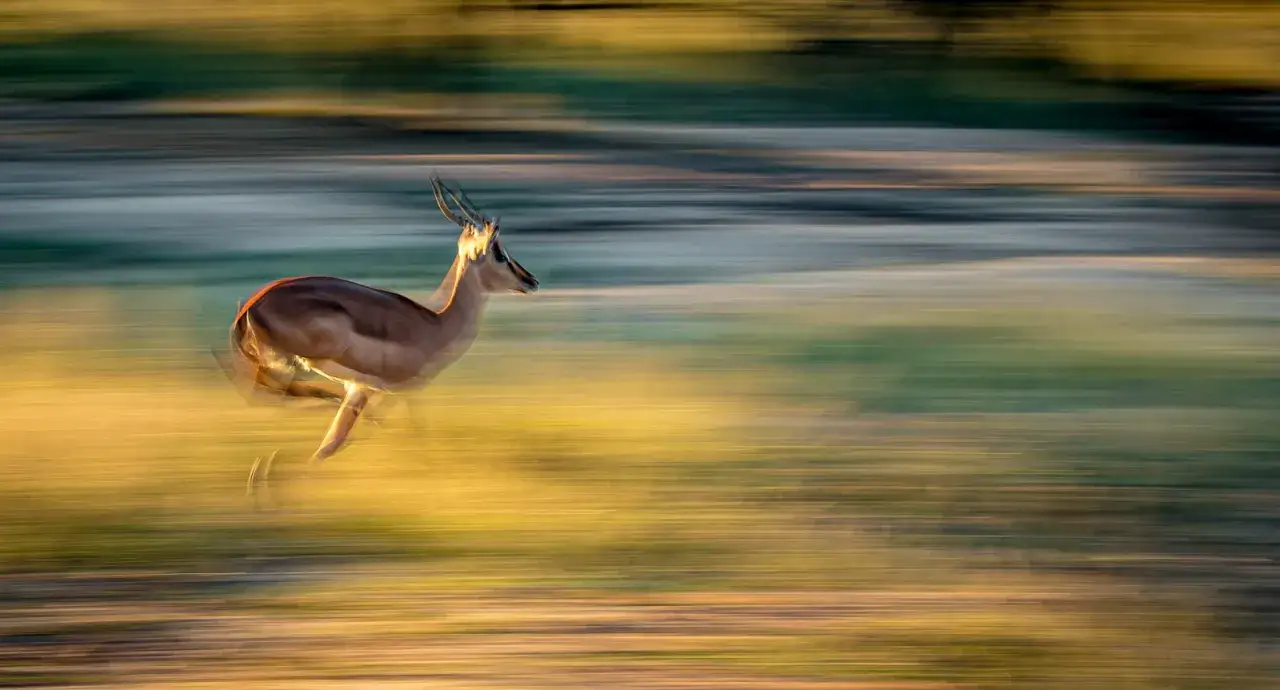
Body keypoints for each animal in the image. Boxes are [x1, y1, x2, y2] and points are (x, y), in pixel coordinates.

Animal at [223, 174, 539, 495]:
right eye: (499, 252)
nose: (531, 280)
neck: (436, 325)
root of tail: (251, 305)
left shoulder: (362, 389)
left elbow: (330, 444)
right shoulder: (406, 391)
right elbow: (414, 435)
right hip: (300, 357)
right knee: (268, 387)